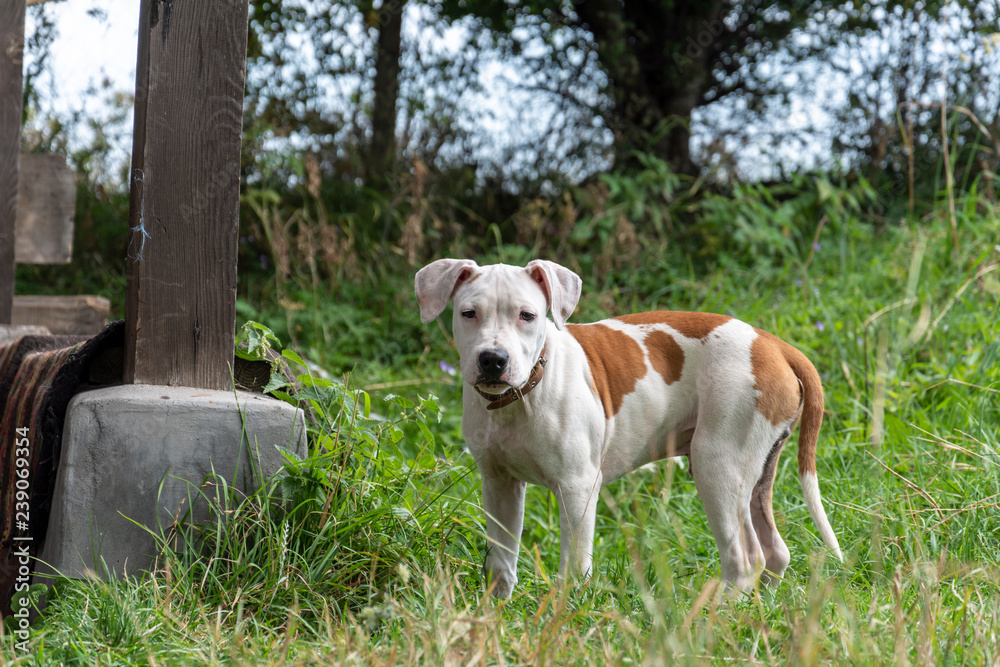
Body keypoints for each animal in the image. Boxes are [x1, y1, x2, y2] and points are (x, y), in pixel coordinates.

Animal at [414, 258, 844, 596]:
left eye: (527, 315)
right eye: (469, 313)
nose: (493, 360)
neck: (523, 394)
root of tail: (771, 342)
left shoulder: (577, 488)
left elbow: (574, 565)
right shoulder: (499, 483)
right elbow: (501, 561)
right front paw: (496, 616)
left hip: (718, 466)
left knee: (744, 557)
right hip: (753, 475)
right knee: (774, 551)